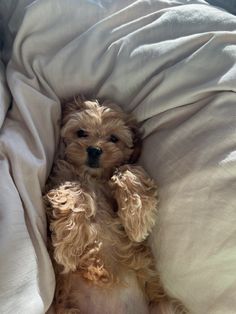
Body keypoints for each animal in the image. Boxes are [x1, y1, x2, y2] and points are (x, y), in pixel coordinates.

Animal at [43, 97, 184, 312]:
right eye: (81, 132)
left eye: (114, 138)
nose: (94, 150)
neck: (94, 177)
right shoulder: (59, 177)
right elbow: (75, 189)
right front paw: (70, 245)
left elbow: (127, 169)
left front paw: (137, 219)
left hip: (163, 306)